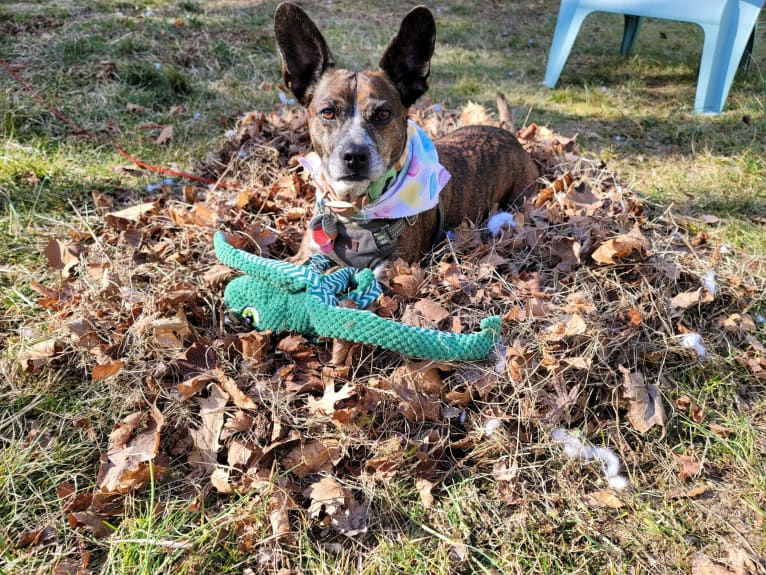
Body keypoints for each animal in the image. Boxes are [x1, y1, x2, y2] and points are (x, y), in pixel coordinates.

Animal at [274, 2, 540, 276]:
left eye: (383, 114)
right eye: (327, 112)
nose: (355, 155)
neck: (353, 209)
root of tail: (508, 135)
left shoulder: (392, 268)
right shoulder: (304, 255)